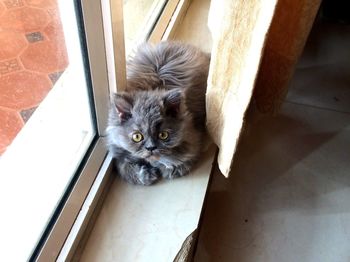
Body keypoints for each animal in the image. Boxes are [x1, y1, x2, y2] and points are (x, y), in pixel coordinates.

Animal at [106, 41, 209, 185]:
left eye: (163, 135)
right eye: (137, 137)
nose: (150, 148)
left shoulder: (192, 140)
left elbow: (176, 161)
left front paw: (163, 167)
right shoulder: (119, 154)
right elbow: (125, 168)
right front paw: (146, 174)